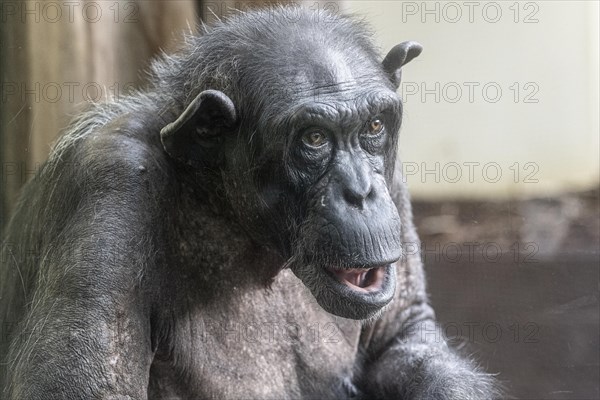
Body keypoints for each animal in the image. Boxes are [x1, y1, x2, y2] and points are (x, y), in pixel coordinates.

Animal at [0, 6, 500, 400]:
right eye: (314, 138)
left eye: (374, 126)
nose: (360, 192)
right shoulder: (111, 180)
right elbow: (84, 386)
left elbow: (399, 338)